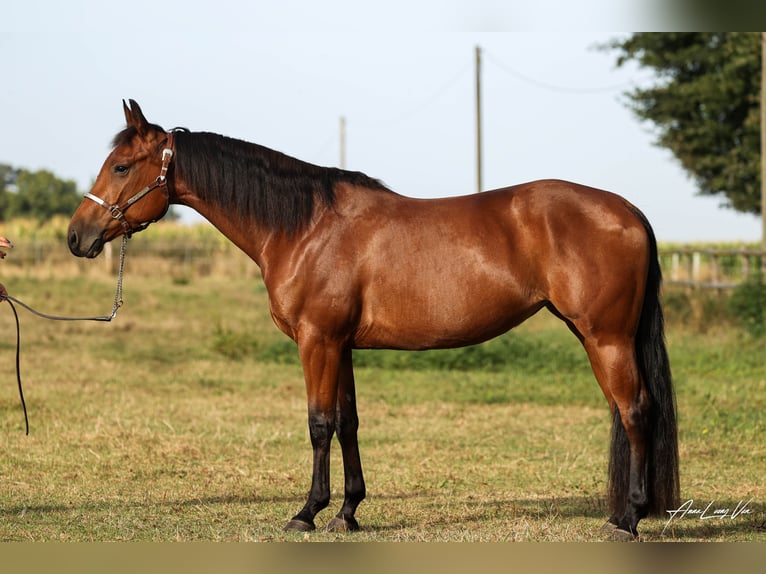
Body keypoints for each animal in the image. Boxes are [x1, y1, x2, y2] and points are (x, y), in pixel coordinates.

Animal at [67, 100, 679, 539]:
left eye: (121, 166)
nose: (77, 236)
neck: (305, 226)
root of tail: (629, 211)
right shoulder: (341, 345)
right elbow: (348, 422)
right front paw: (348, 511)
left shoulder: (317, 341)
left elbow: (318, 424)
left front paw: (306, 512)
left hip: (606, 338)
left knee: (634, 410)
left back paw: (628, 519)